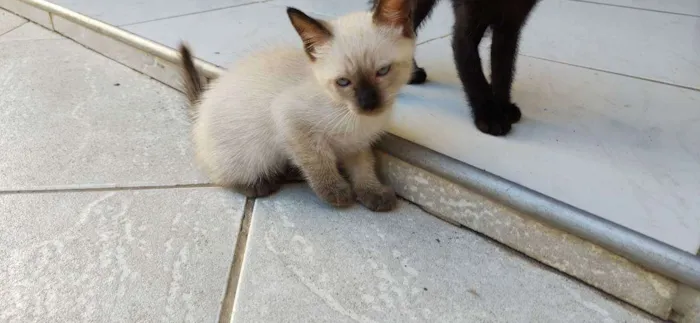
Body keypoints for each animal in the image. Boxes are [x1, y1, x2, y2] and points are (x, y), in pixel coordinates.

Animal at [180, 0, 416, 213]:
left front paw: (373, 192)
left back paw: (290, 171)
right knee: (224, 176)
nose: (368, 104)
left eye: (383, 71)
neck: (356, 118)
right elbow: (319, 162)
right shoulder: (293, 122)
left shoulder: (356, 143)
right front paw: (337, 192)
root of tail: (200, 107)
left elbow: (364, 167)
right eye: (343, 82)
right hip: (250, 153)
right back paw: (260, 184)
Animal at [374, 0, 540, 136]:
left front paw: (503, 105)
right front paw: (489, 117)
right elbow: (474, 73)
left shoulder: (510, 26)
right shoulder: (466, 29)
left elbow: (503, 69)